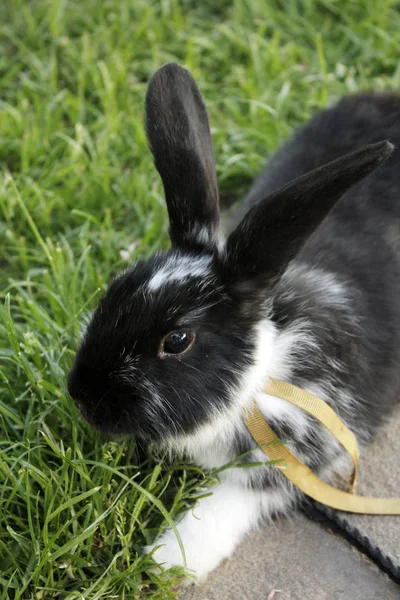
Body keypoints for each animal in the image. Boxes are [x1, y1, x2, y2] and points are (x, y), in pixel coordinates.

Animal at [67, 64, 400, 580]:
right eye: (115, 289)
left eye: (177, 340)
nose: (81, 396)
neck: (258, 381)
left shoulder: (291, 460)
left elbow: (227, 506)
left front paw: (169, 560)